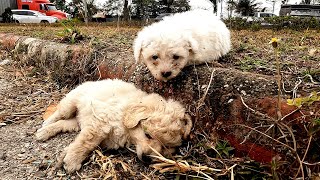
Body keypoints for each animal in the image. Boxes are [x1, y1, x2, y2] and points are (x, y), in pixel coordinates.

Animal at [35, 79, 190, 174]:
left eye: (166, 147)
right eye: (147, 135)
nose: (147, 158)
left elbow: (81, 143)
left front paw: (65, 155)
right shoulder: (99, 123)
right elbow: (86, 142)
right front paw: (72, 161)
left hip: (76, 121)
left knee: (64, 123)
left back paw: (44, 132)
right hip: (72, 101)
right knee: (60, 113)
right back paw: (45, 125)